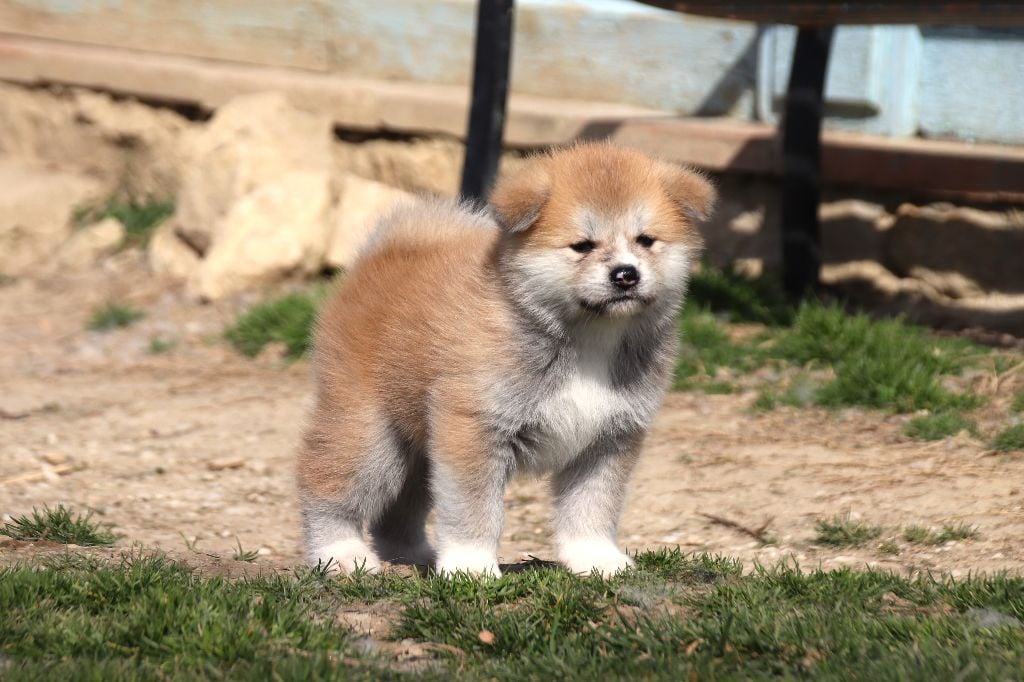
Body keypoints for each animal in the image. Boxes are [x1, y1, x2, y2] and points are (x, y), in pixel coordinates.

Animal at [296, 142, 712, 573]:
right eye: (583, 245)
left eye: (646, 240)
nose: (626, 274)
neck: (587, 339)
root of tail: (383, 254)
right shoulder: (475, 429)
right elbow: (475, 510)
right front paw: (471, 567)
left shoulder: (609, 438)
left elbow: (592, 508)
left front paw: (596, 558)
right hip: (368, 435)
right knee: (324, 484)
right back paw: (339, 552)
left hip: (417, 447)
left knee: (399, 510)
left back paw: (412, 555)